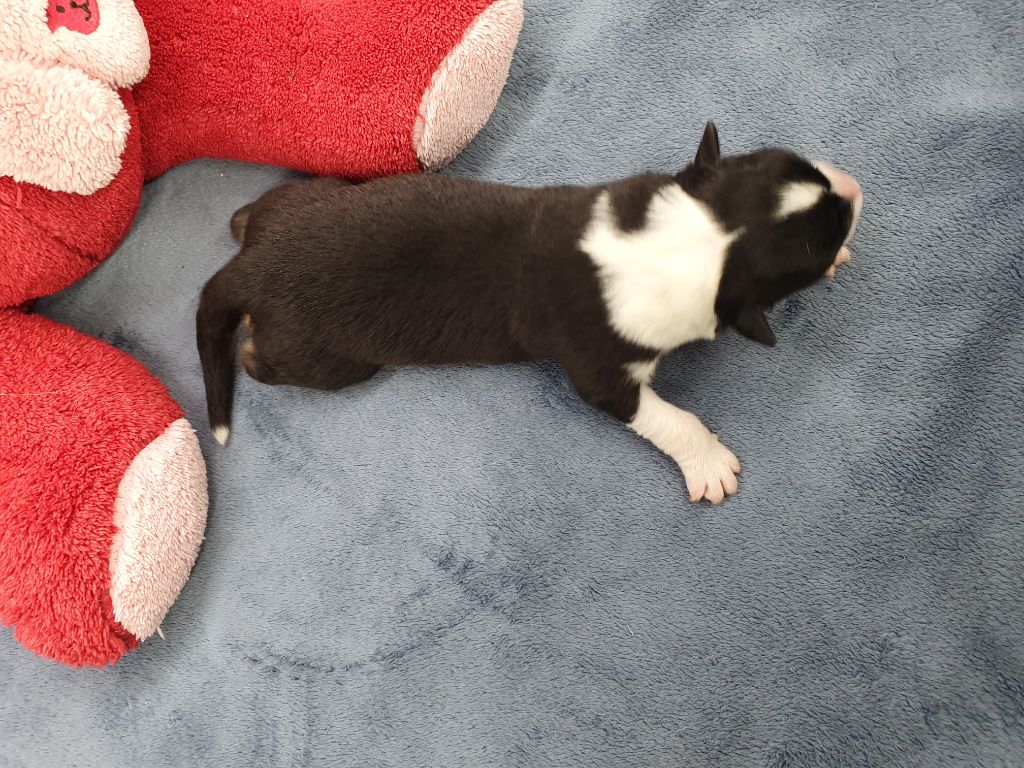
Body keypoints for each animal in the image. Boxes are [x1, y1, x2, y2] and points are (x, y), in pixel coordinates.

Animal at [197, 122, 863, 504]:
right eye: (814, 244)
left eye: (796, 164)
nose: (853, 190)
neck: (678, 242)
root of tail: (248, 268)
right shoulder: (600, 372)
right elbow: (668, 417)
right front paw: (708, 464)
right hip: (324, 358)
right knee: (261, 360)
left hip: (308, 195)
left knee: (251, 213)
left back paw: (241, 220)